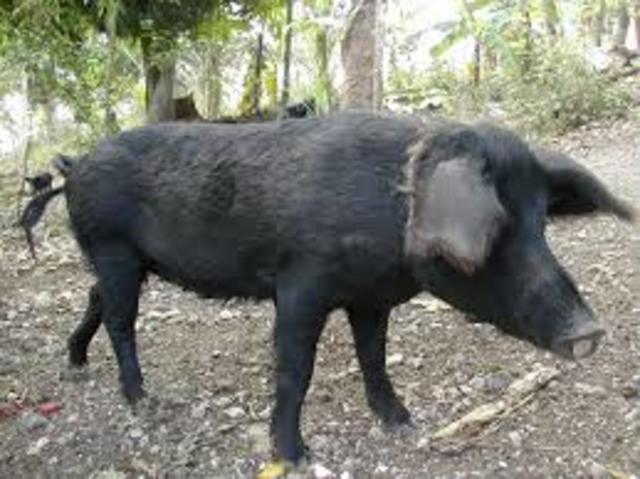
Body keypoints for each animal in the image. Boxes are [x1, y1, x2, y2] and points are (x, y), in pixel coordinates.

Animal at [19, 112, 634, 464]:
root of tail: (74, 167)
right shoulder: (300, 283)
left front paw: (402, 423)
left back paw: (76, 364)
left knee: (95, 300)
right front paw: (293, 456)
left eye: (541, 223)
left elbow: (374, 358)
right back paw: (140, 399)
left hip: (118, 258)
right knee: (121, 319)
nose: (590, 330)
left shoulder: (370, 298)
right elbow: (296, 370)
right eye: (495, 230)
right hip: (113, 248)